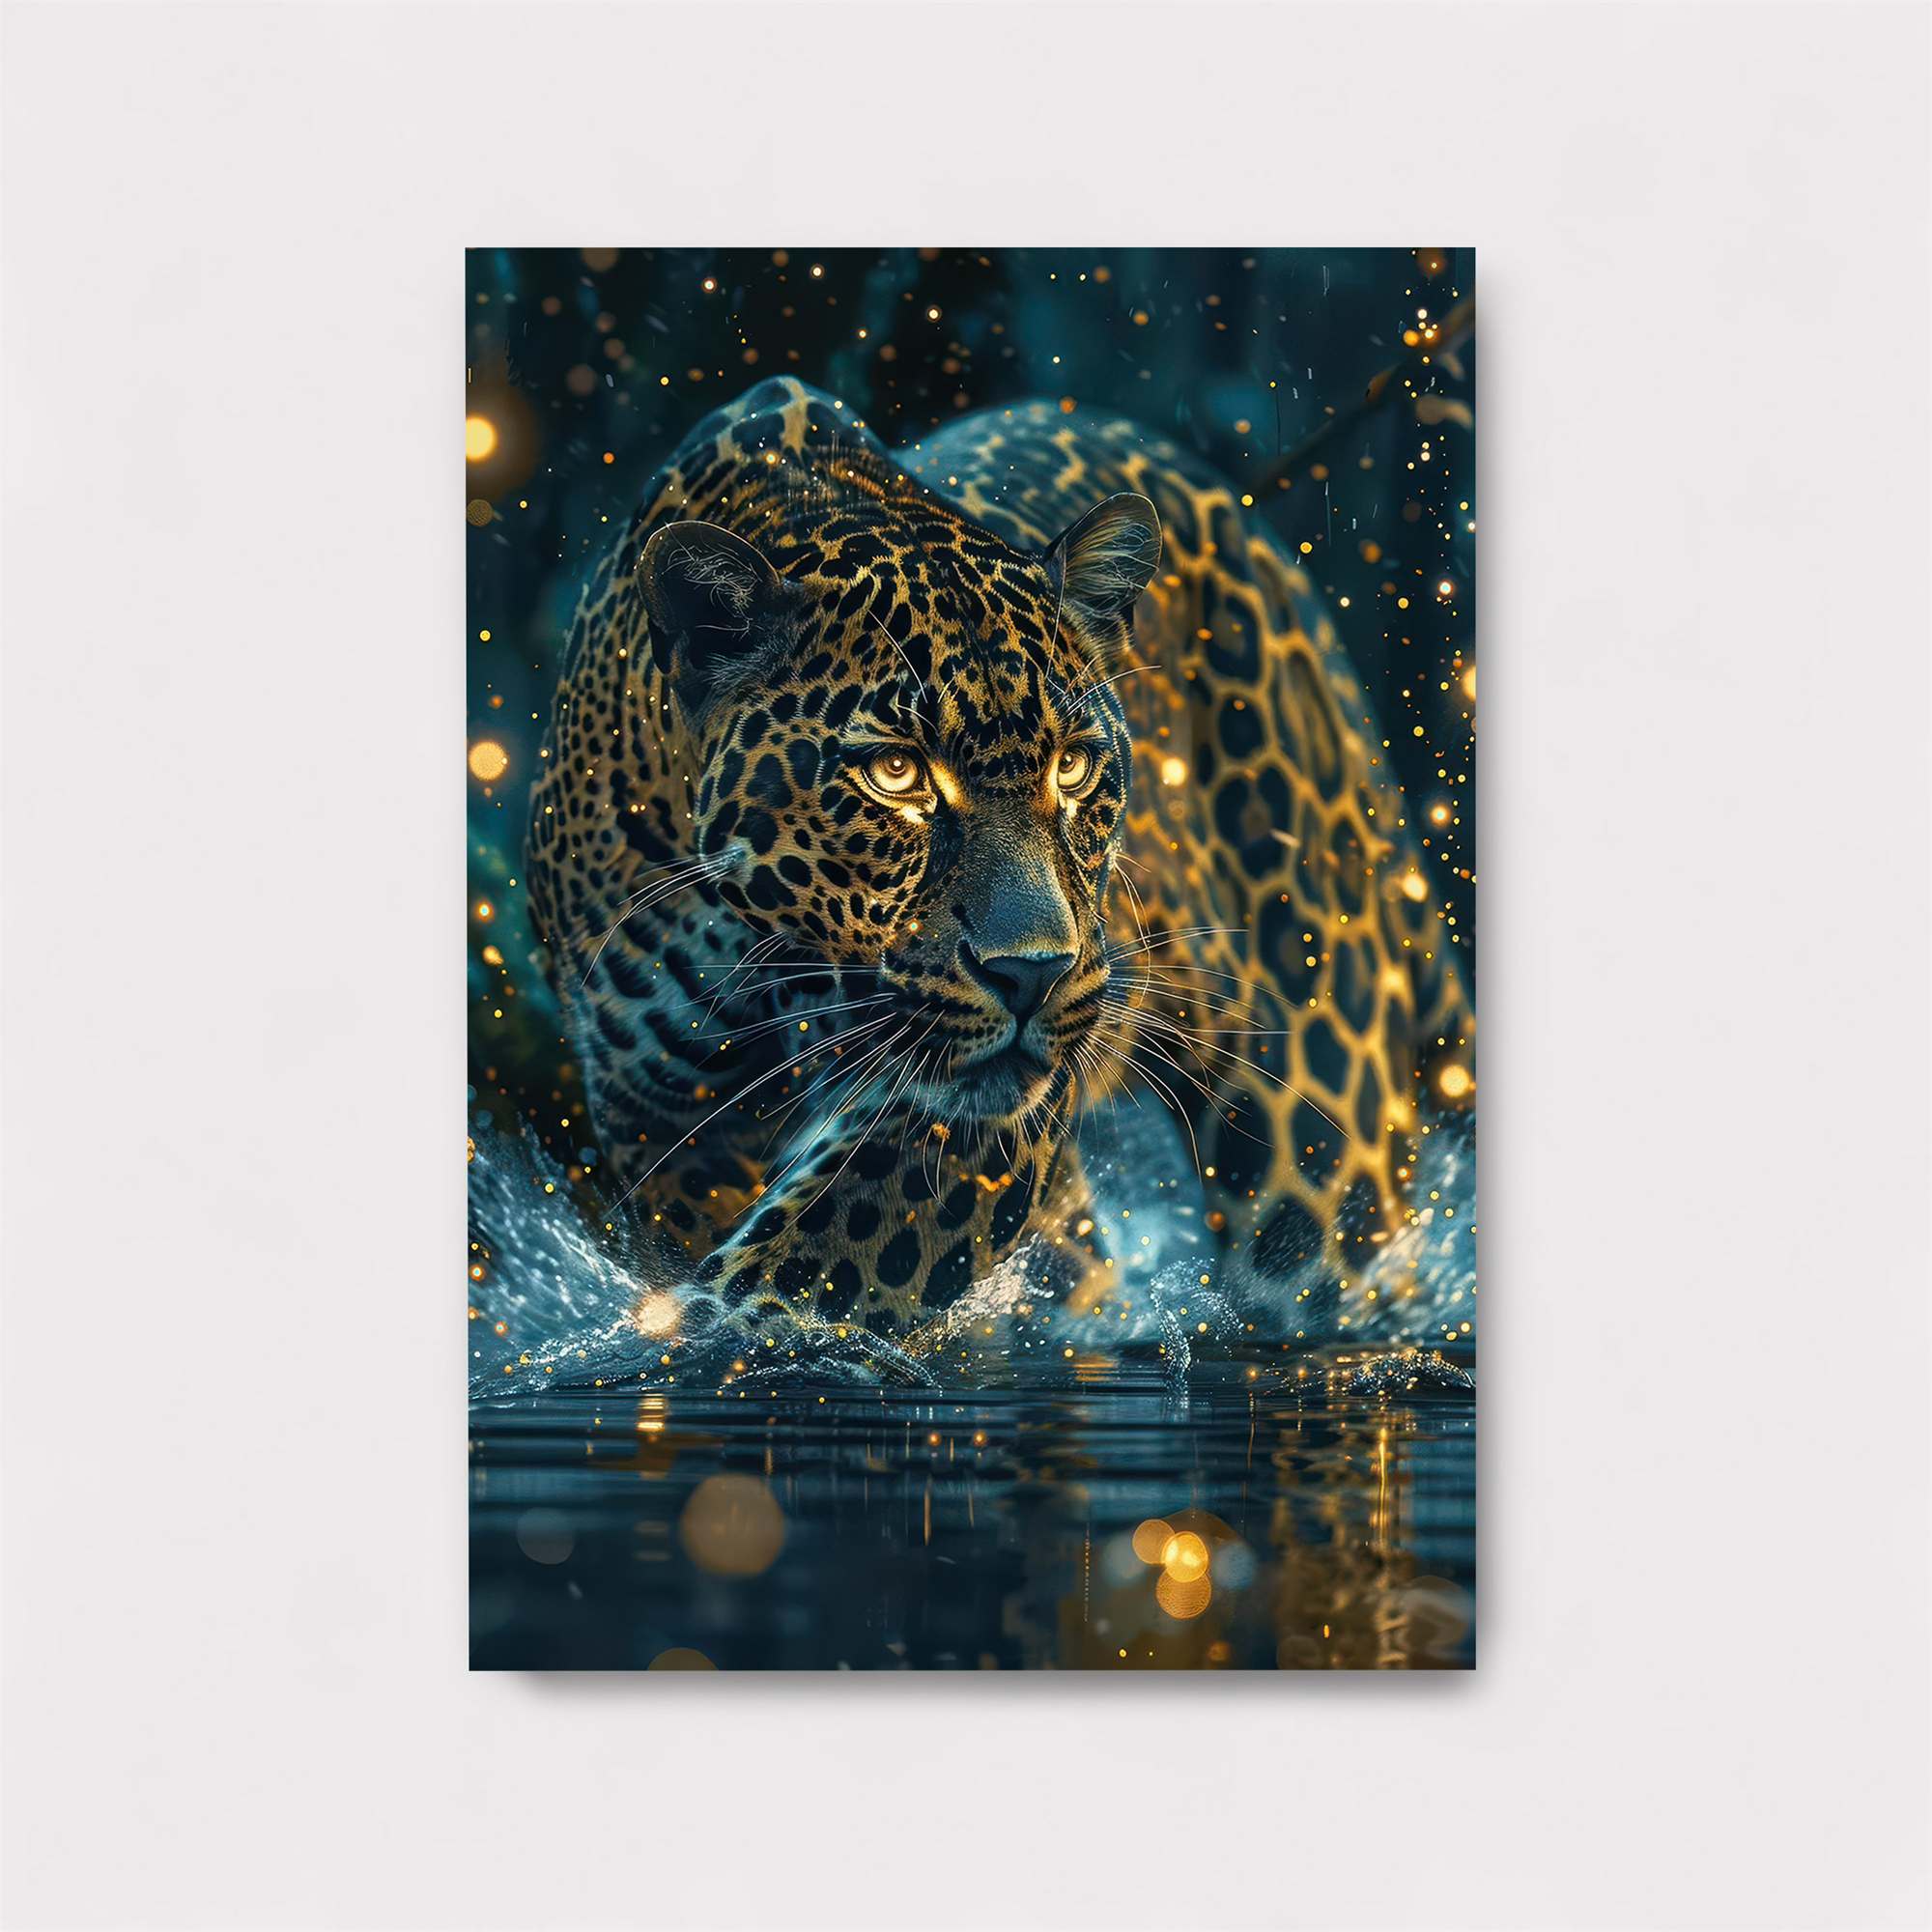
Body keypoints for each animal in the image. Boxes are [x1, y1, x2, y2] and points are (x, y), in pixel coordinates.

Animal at [525, 376, 1473, 1363]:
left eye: (1073, 766)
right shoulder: (652, 1116)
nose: (1034, 975)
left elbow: (807, 1262)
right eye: (895, 773)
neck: (750, 944)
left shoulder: (959, 1113)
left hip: (1313, 1132)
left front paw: (707, 1337)